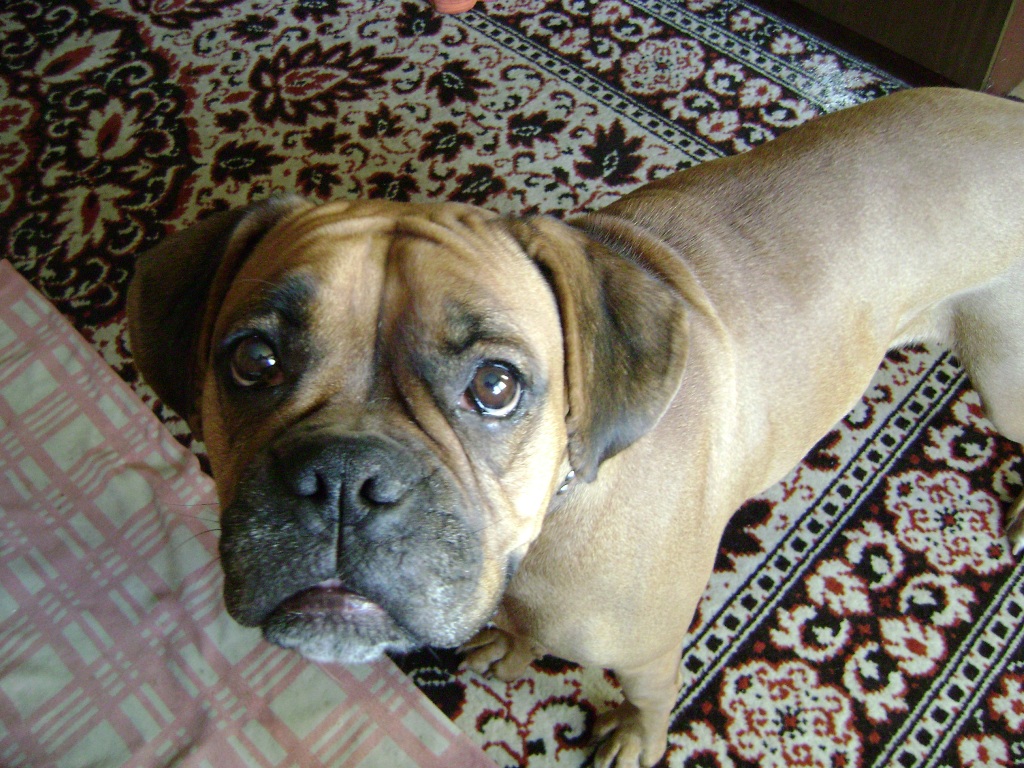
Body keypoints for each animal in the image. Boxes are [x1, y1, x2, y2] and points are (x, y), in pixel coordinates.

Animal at [128, 87, 1024, 767]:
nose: (344, 476)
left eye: (495, 386)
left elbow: (649, 700)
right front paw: (511, 649)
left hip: (1006, 378)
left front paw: (633, 738)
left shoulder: (651, 654)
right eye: (253, 361)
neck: (549, 522)